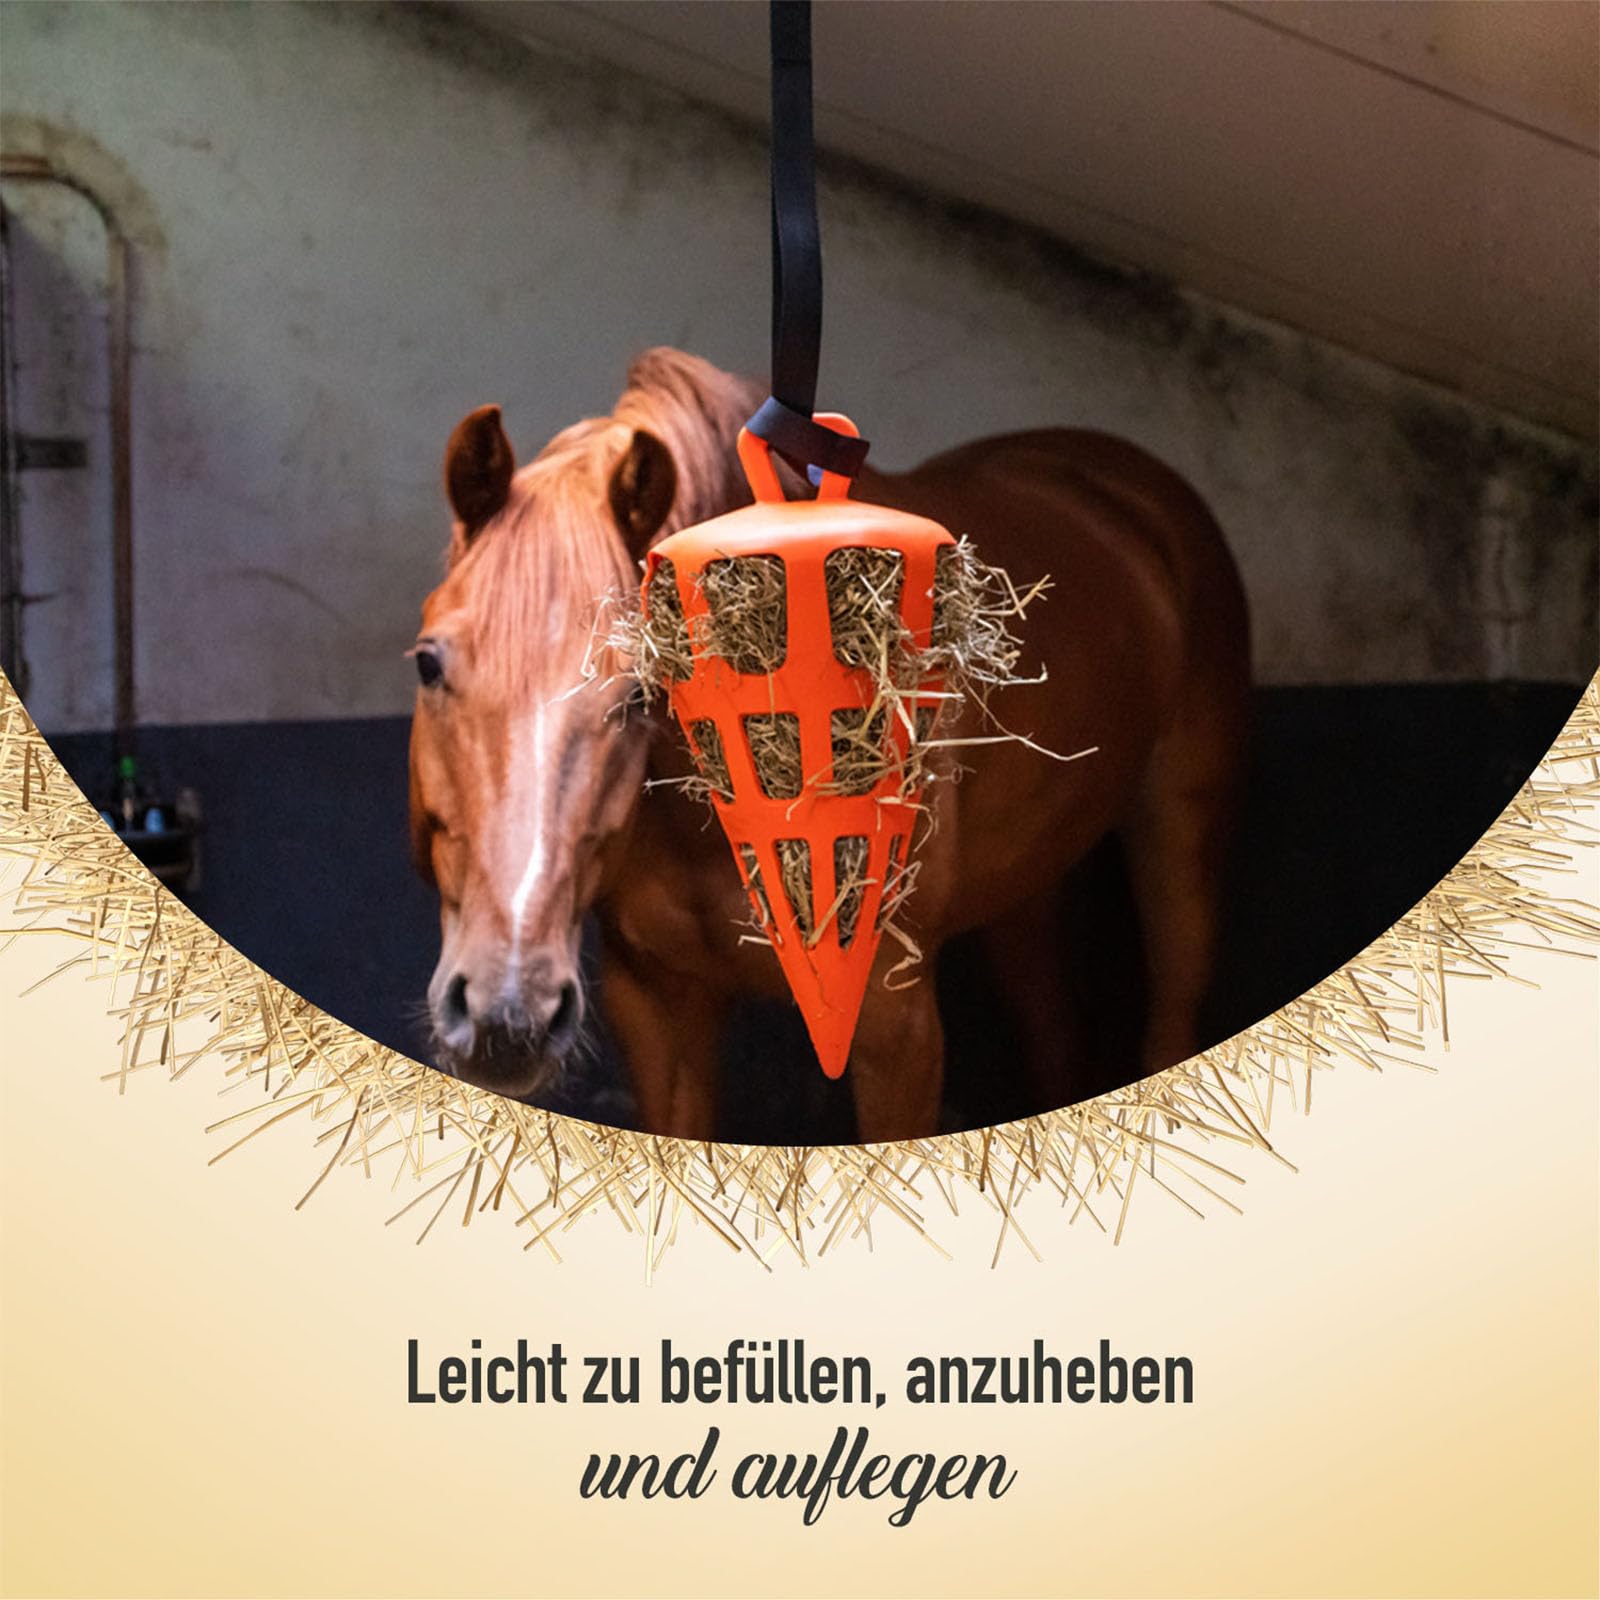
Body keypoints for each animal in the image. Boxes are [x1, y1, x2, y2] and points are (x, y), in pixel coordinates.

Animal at [407, 347, 1251, 1141]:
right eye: (428, 664)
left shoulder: (893, 1024)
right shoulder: (656, 1007)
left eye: (640, 694)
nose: (506, 1015)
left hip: (1179, 845)